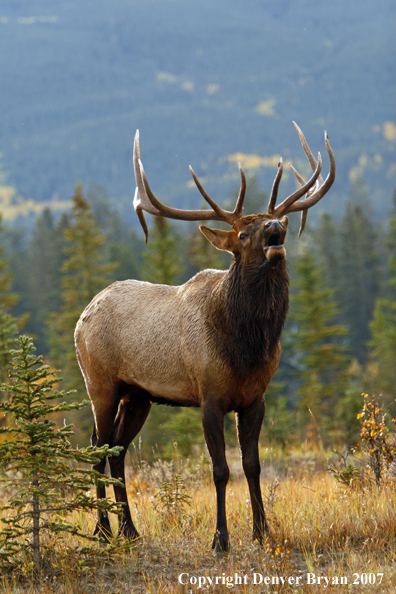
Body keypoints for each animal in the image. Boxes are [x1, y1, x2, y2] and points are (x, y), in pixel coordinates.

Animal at [74, 122, 334, 552]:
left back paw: (130, 529)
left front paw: (262, 531)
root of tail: (82, 316)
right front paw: (221, 539)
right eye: (243, 233)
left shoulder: (255, 398)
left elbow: (252, 464)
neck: (245, 347)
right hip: (100, 383)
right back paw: (104, 530)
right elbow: (220, 470)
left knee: (118, 450)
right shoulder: (209, 396)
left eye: (276, 220)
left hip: (138, 394)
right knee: (97, 446)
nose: (275, 228)